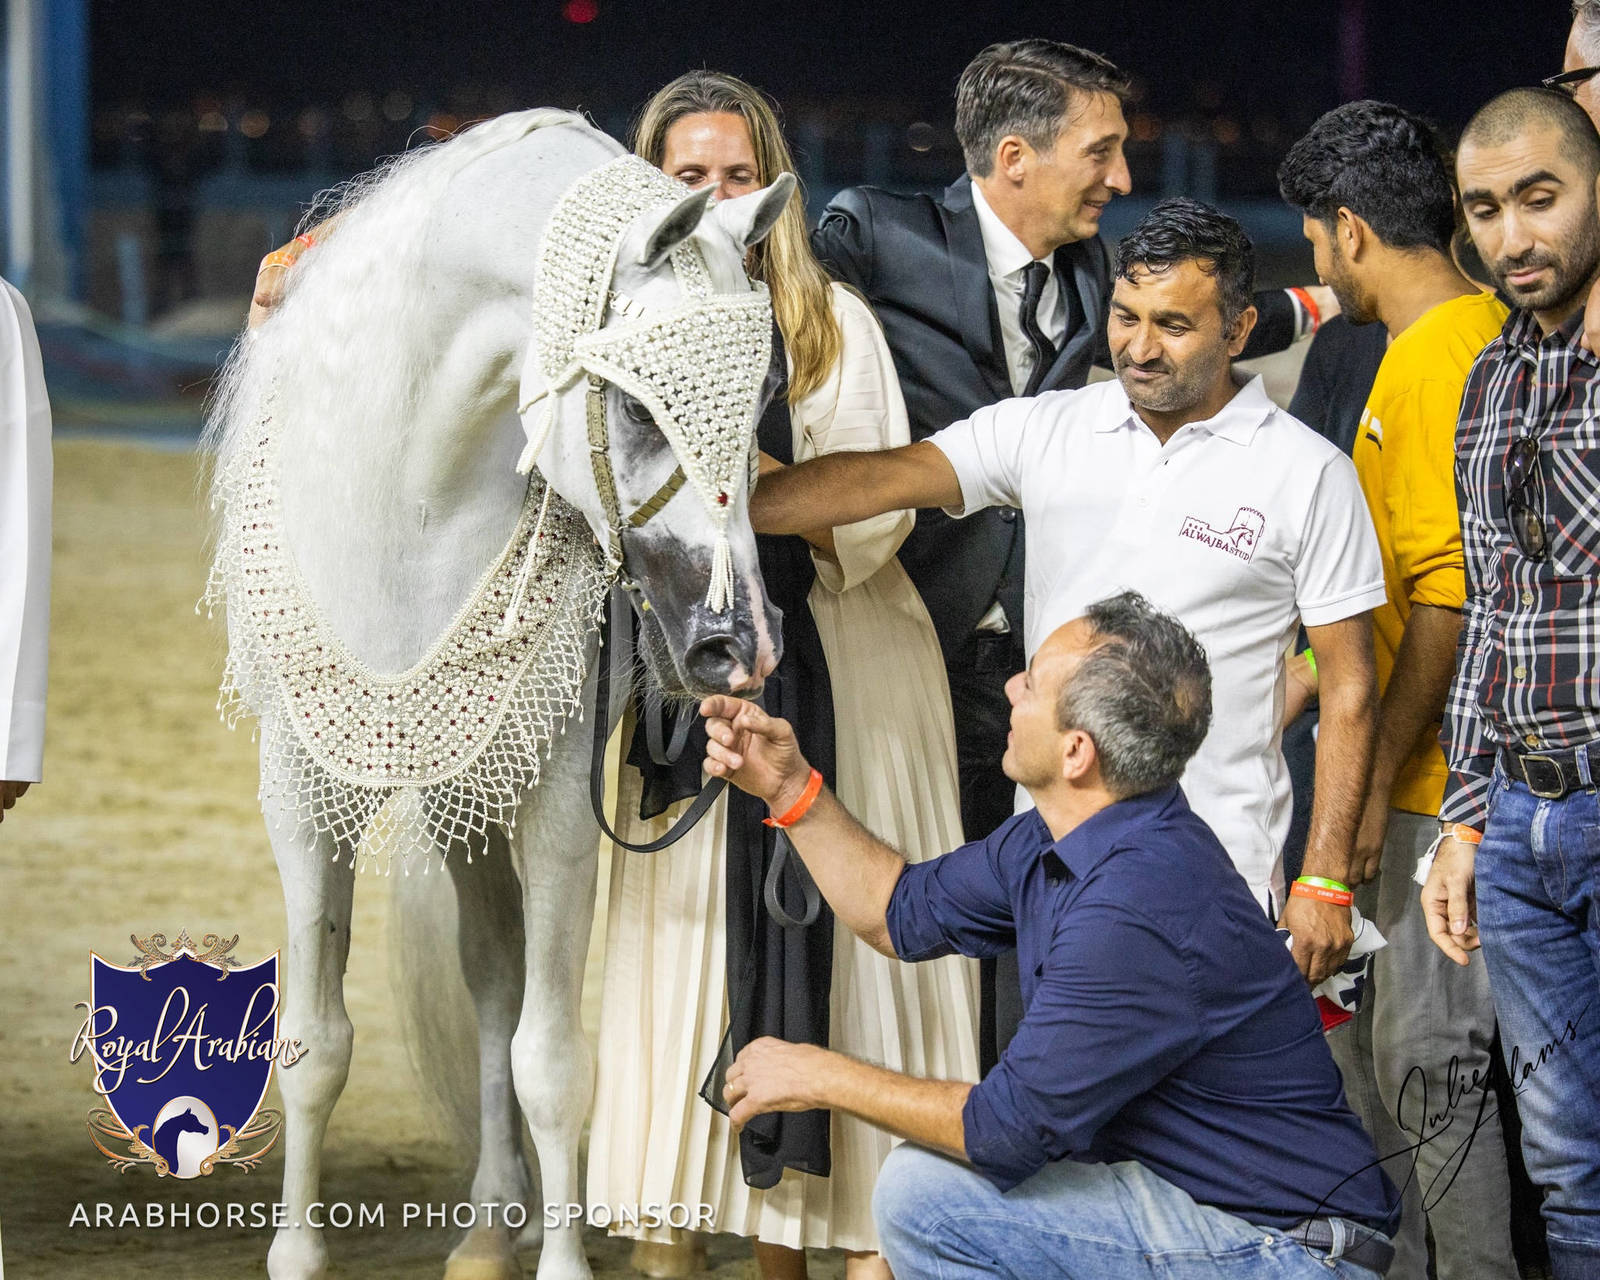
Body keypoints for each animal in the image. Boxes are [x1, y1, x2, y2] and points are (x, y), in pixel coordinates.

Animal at [205, 108, 793, 1280]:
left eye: (763, 396)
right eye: (631, 401)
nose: (735, 647)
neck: (409, 500)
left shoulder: (559, 800)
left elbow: (555, 1058)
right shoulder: (301, 793)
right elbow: (314, 1043)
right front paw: (297, 1250)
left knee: (506, 988)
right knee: (490, 972)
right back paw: (489, 1220)